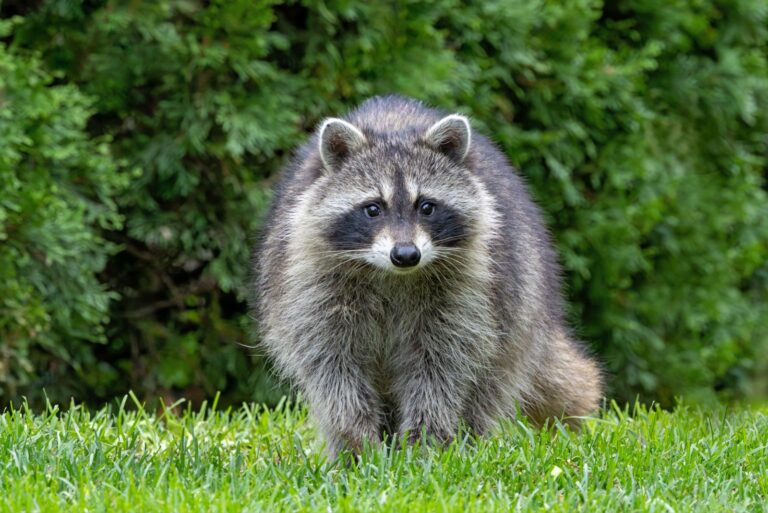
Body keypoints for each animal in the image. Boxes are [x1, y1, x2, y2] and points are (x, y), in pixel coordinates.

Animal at [252, 95, 602, 457]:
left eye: (427, 207)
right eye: (373, 209)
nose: (406, 255)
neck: (392, 275)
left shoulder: (469, 290)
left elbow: (442, 368)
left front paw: (425, 444)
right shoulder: (313, 282)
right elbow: (333, 367)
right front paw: (357, 442)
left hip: (520, 305)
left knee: (489, 383)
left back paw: (468, 438)